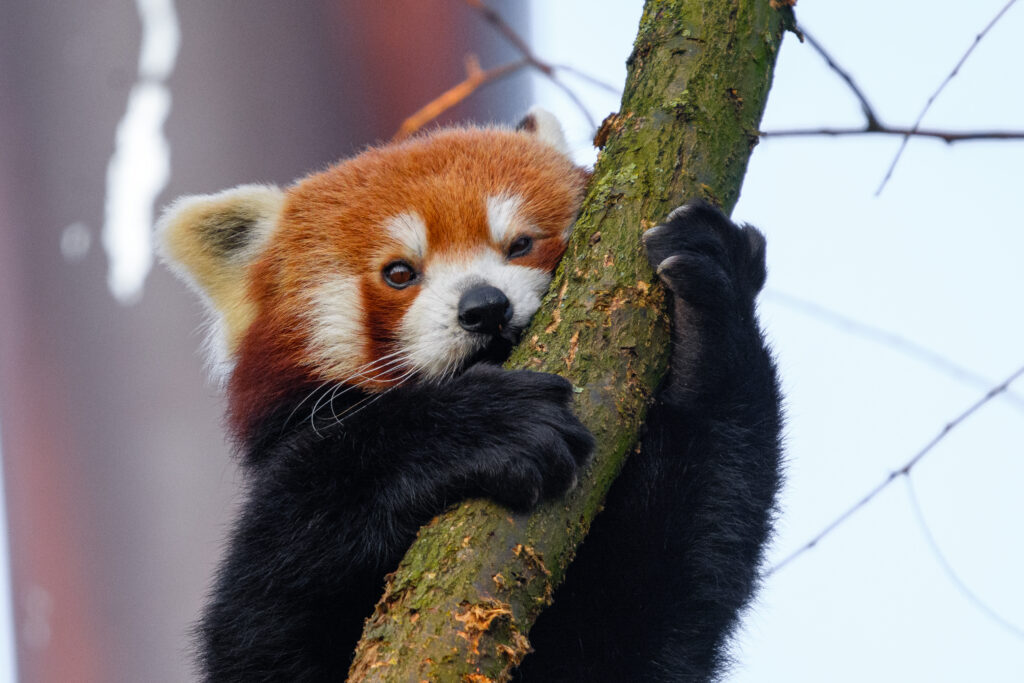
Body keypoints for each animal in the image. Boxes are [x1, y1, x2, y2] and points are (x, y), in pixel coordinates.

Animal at [158, 109, 782, 682]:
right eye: (400, 272)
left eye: (520, 244)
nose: (485, 307)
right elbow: (260, 621)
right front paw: (480, 426)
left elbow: (658, 602)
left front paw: (710, 319)